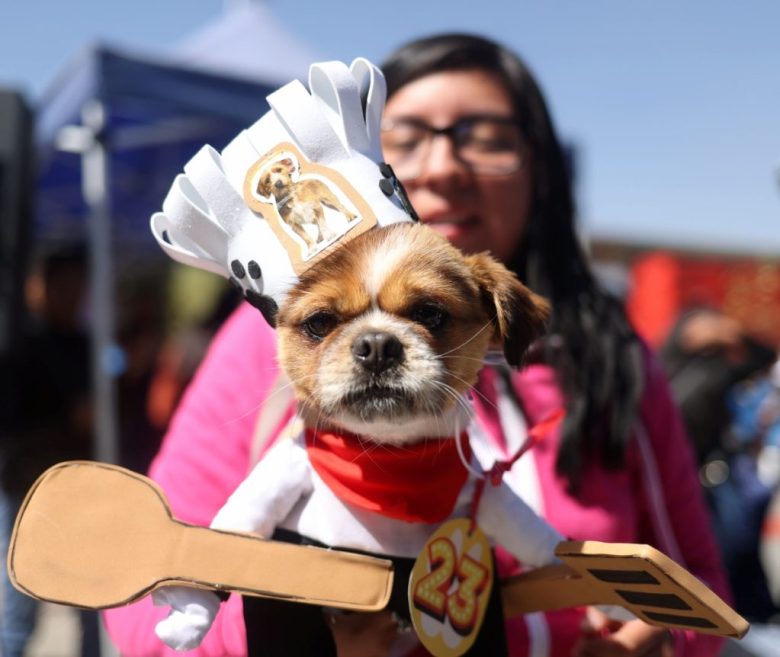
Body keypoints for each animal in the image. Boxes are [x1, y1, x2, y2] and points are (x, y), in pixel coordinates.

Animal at [155, 223, 564, 652]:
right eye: (320, 322)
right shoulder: (286, 472)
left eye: (429, 313)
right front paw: (188, 614)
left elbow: (531, 534)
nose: (378, 344)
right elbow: (233, 531)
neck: (386, 458)